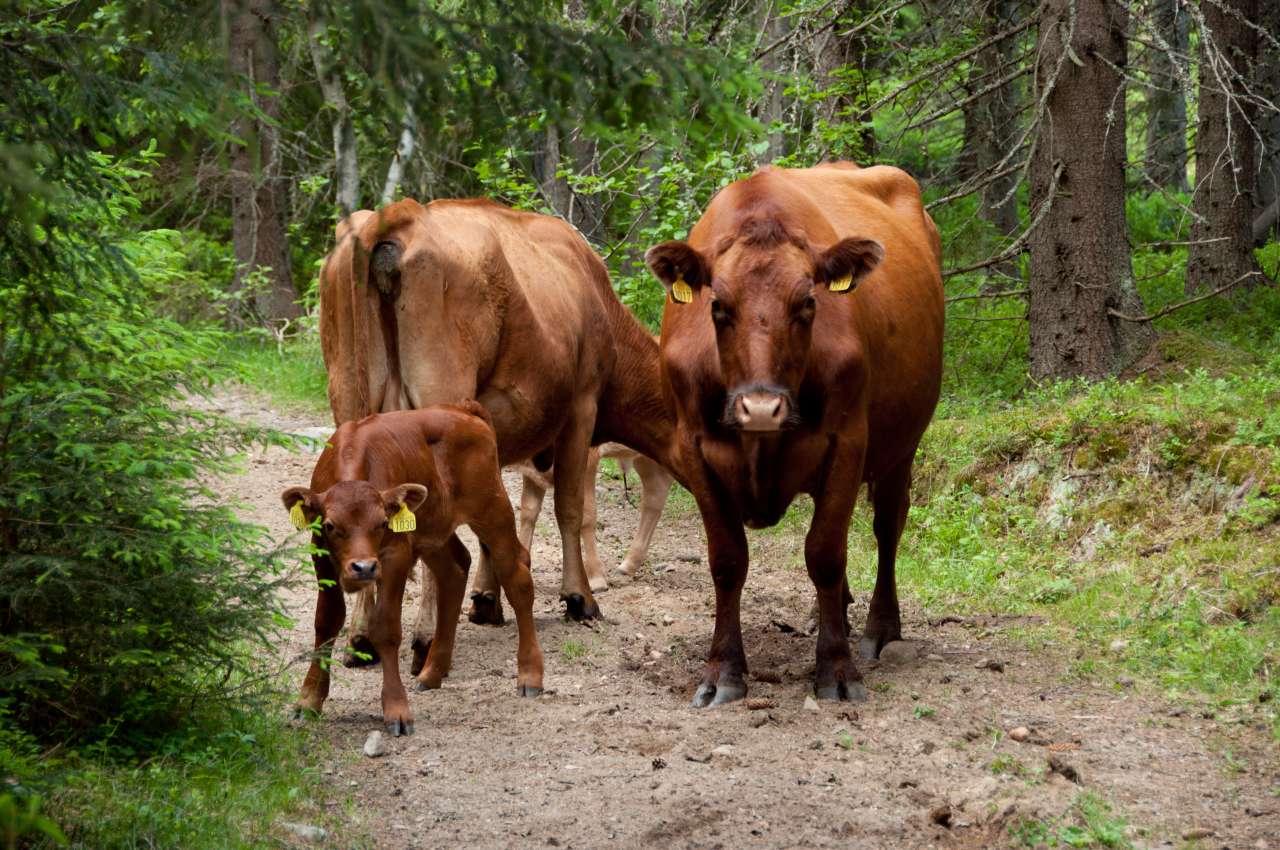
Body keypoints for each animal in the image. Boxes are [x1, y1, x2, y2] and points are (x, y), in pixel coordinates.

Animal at [282, 401, 542, 732]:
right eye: (330, 525)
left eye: (383, 523)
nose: (364, 568)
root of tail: (464, 410)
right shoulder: (320, 554)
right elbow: (326, 622)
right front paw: (309, 699)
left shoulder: (396, 555)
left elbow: (386, 628)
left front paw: (396, 708)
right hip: (434, 531)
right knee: (455, 570)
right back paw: (431, 672)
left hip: (493, 511)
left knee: (517, 576)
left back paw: (530, 675)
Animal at [317, 197, 670, 670]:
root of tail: (396, 215)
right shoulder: (582, 406)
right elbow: (570, 507)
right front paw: (579, 597)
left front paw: (487, 599)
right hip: (439, 400)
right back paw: (425, 640)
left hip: (349, 402)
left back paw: (362, 638)